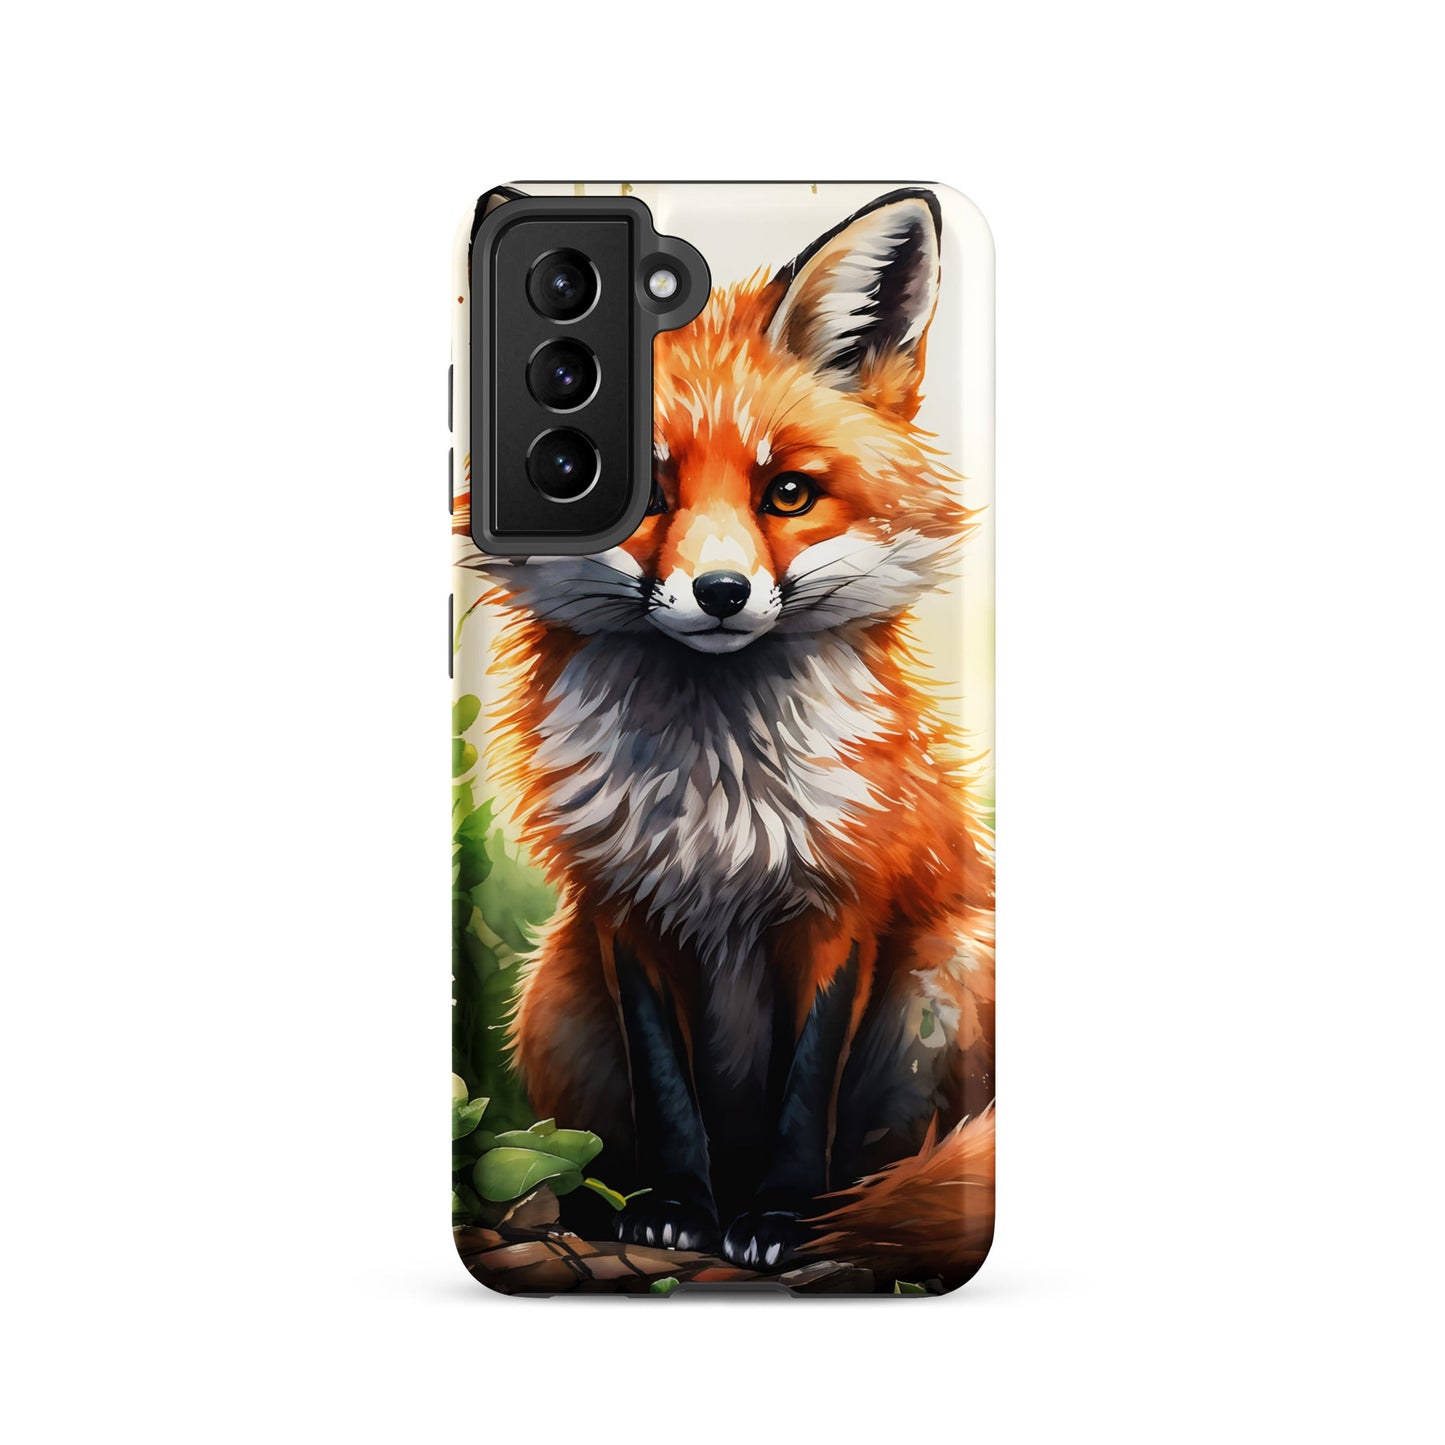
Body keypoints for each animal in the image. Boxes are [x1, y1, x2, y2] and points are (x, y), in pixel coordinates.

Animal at [456, 188, 995, 1286]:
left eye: (786, 492)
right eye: (645, 495)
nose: (719, 592)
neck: (718, 802)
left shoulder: (842, 901)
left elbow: (805, 1088)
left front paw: (780, 1216)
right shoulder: (622, 906)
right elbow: (668, 1092)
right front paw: (675, 1209)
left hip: (948, 968)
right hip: (552, 989)